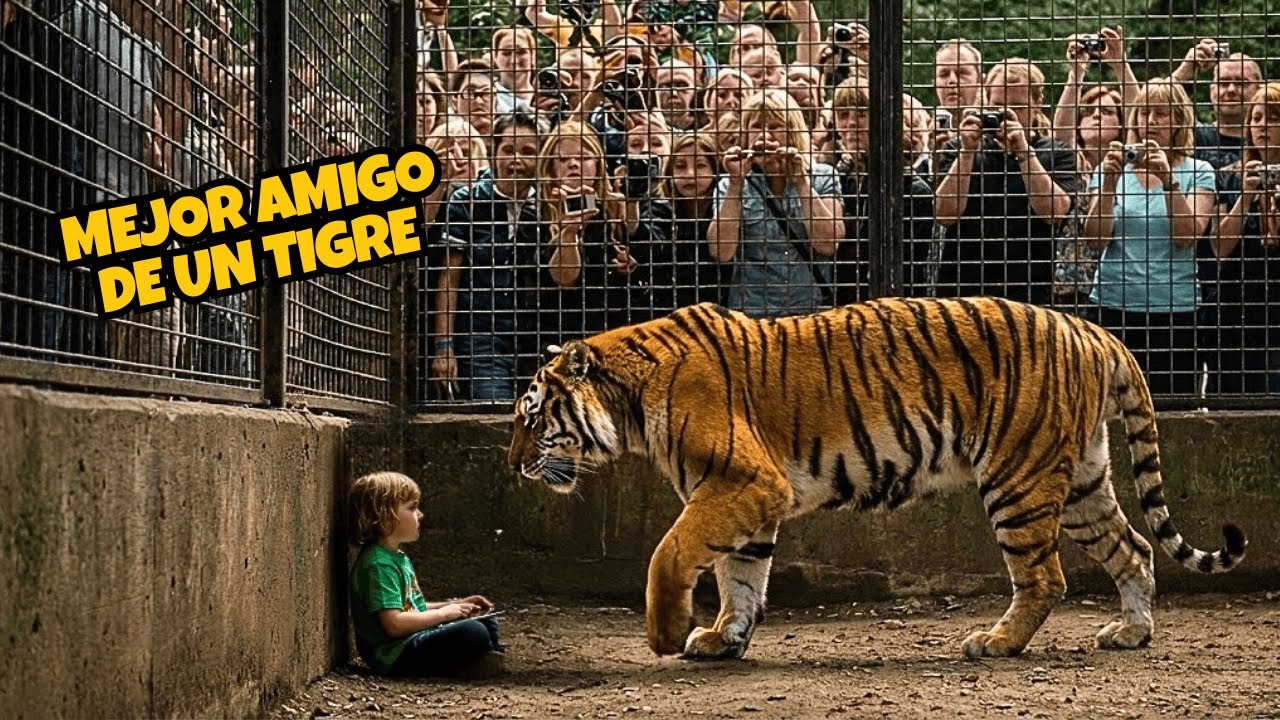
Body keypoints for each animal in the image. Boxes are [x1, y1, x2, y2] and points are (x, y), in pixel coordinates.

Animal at [506, 298, 1247, 660]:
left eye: (533, 417)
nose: (513, 465)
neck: (630, 401)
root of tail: (1094, 331)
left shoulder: (743, 483)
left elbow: (672, 551)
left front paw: (665, 634)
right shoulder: (752, 500)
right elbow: (741, 577)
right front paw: (724, 640)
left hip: (1018, 479)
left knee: (1046, 577)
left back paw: (997, 643)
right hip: (1082, 482)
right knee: (1136, 549)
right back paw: (1130, 633)